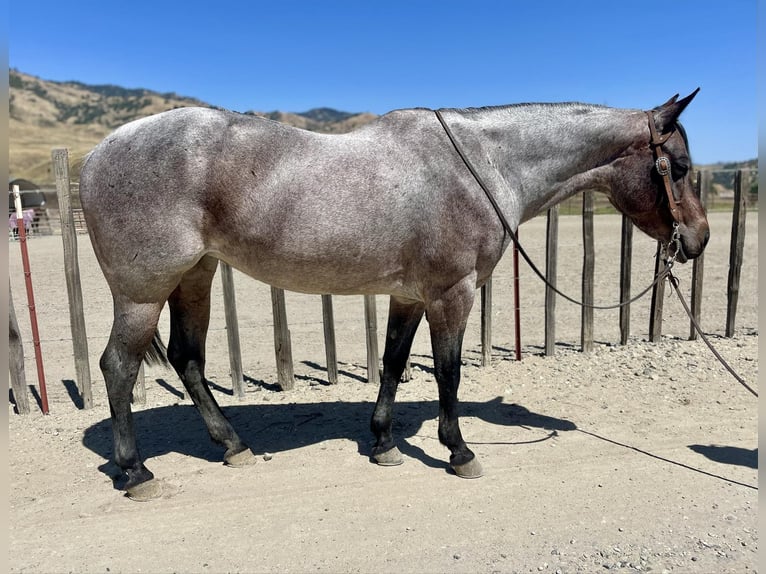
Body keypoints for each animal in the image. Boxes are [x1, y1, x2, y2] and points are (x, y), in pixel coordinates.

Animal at [81, 89, 712, 500]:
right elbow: (448, 373)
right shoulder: (453, 294)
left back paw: (233, 445)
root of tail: (97, 152)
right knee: (118, 366)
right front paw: (460, 452)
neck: (482, 165)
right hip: (144, 292)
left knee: (187, 358)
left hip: (196, 276)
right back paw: (136, 473)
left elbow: (391, 361)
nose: (700, 239)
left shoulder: (409, 297)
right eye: (678, 167)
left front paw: (383, 441)